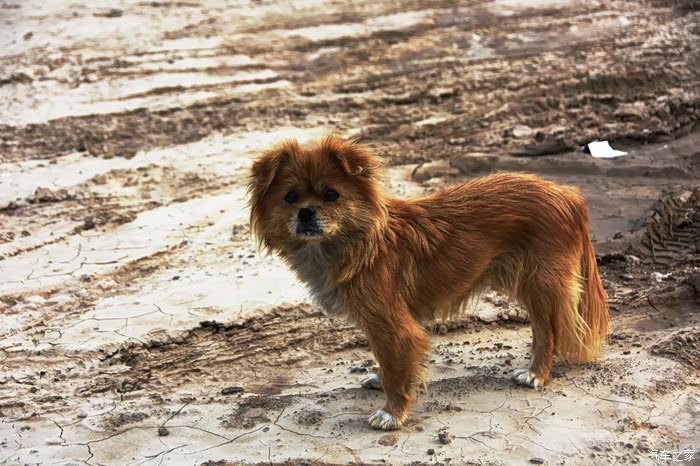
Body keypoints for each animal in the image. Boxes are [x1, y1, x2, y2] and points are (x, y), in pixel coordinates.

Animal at [247, 135, 609, 430]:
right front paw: (382, 379)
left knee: (548, 333)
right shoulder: (377, 326)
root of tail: (566, 194)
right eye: (290, 197)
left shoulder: (394, 326)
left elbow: (397, 366)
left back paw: (536, 373)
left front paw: (392, 413)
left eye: (332, 195)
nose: (306, 212)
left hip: (541, 283)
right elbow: (386, 360)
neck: (360, 242)